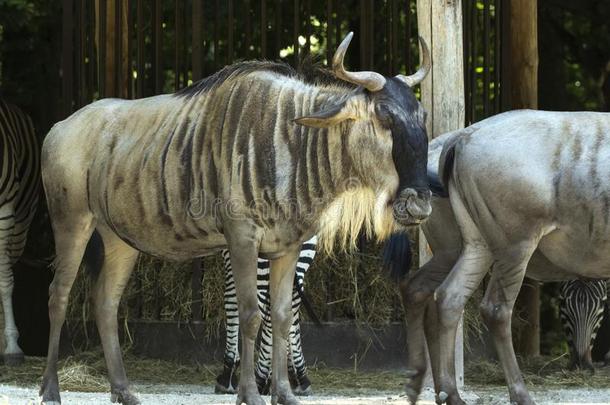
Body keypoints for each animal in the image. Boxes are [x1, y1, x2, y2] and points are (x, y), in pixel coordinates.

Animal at [215, 234, 318, 394]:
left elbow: (232, 301)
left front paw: (228, 372)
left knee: (261, 311)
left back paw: (258, 378)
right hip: (302, 253)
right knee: (287, 307)